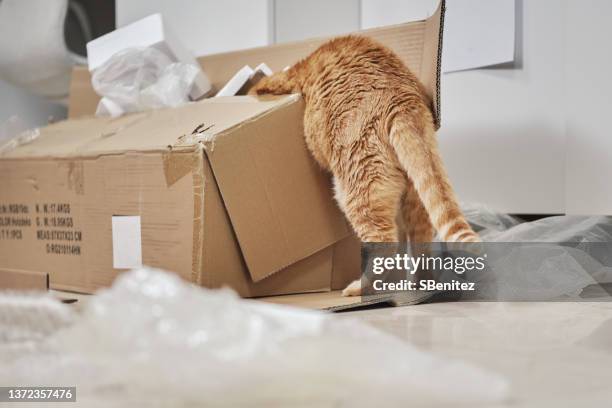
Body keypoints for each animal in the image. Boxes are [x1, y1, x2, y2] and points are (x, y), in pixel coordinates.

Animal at [249, 35, 478, 296]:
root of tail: (400, 95)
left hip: (357, 190)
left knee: (385, 244)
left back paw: (360, 287)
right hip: (415, 196)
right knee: (422, 242)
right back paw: (421, 285)